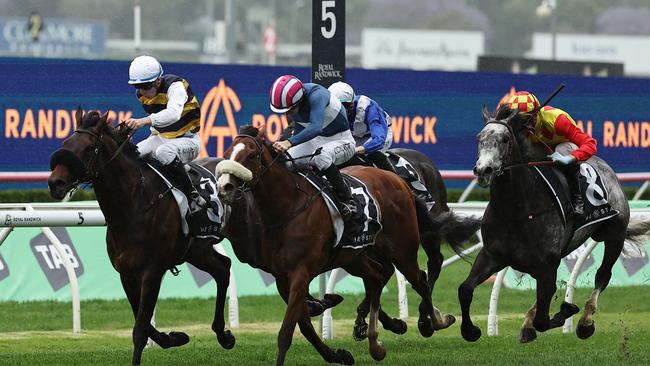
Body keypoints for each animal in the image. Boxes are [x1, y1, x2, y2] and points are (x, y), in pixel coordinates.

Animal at [48, 110, 235, 366]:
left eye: (89, 148)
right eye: (66, 143)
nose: (55, 183)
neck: (134, 206)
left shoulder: (152, 271)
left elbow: (140, 329)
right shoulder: (126, 273)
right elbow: (144, 323)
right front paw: (175, 337)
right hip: (196, 249)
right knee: (223, 268)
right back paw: (224, 335)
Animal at [215, 126, 474, 366]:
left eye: (251, 156)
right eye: (228, 153)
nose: (224, 187)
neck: (288, 206)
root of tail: (398, 180)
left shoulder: (300, 273)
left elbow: (287, 331)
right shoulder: (282, 277)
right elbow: (304, 324)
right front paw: (339, 352)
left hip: (404, 247)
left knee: (421, 277)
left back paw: (435, 321)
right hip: (354, 257)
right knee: (379, 276)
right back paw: (375, 341)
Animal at [458, 105, 648, 344]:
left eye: (504, 139)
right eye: (479, 138)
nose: (484, 170)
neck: (516, 210)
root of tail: (604, 166)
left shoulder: (547, 263)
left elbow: (544, 319)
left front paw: (566, 310)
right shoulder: (492, 255)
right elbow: (465, 289)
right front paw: (471, 330)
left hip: (615, 234)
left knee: (602, 276)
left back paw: (585, 322)